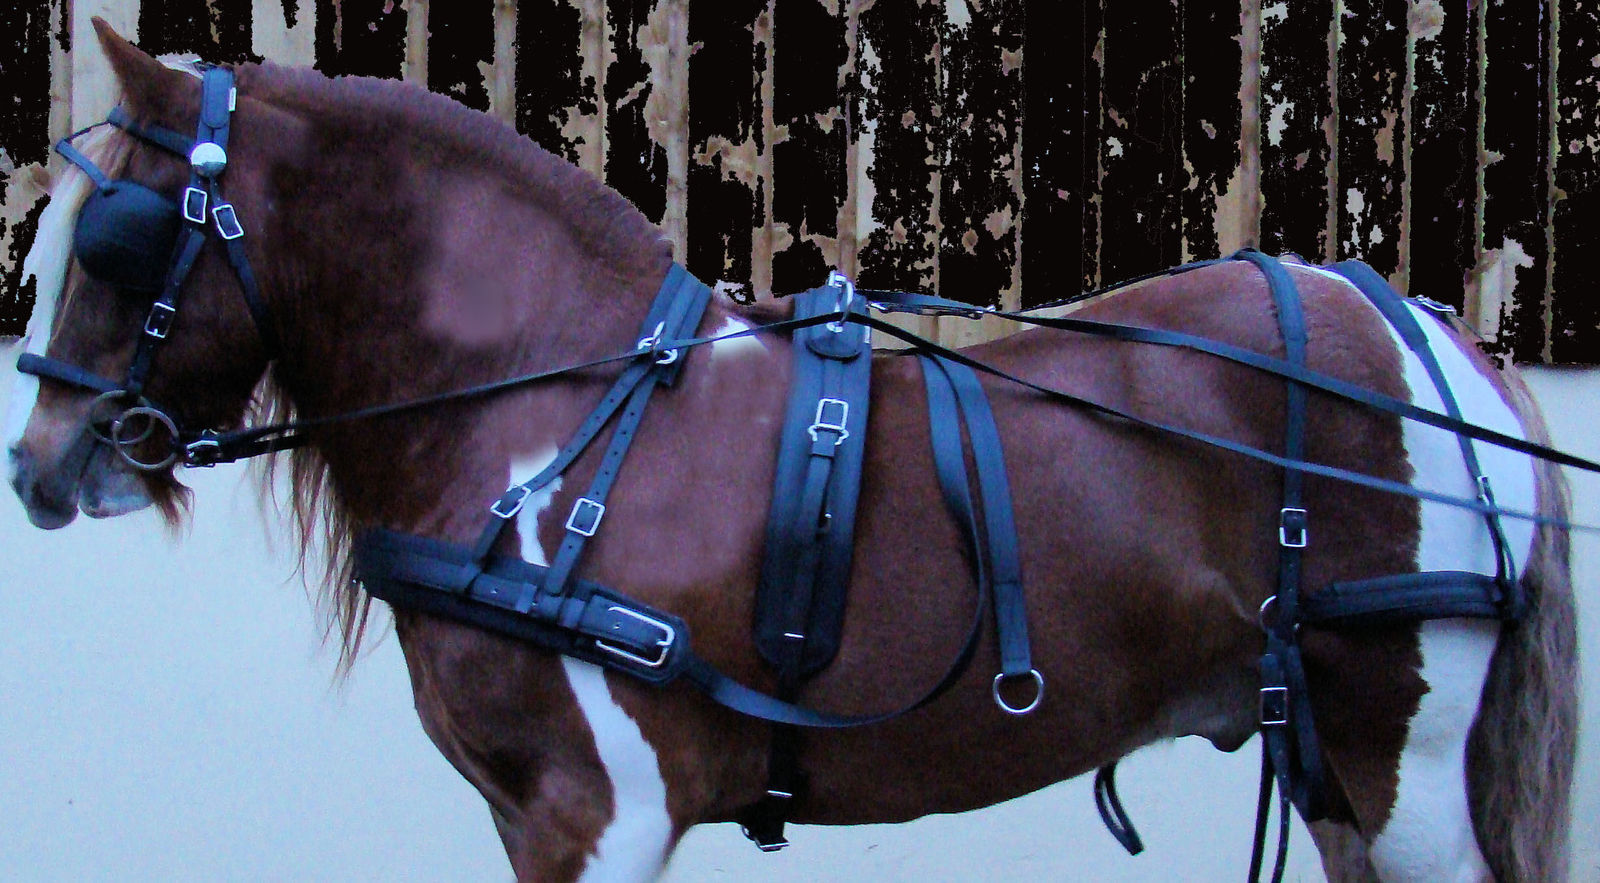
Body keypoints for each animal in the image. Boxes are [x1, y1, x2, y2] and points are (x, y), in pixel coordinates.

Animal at [5, 21, 1577, 882]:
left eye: (119, 237)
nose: (38, 464)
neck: (556, 419)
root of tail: (1430, 331)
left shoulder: (595, 809)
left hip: (1398, 754)